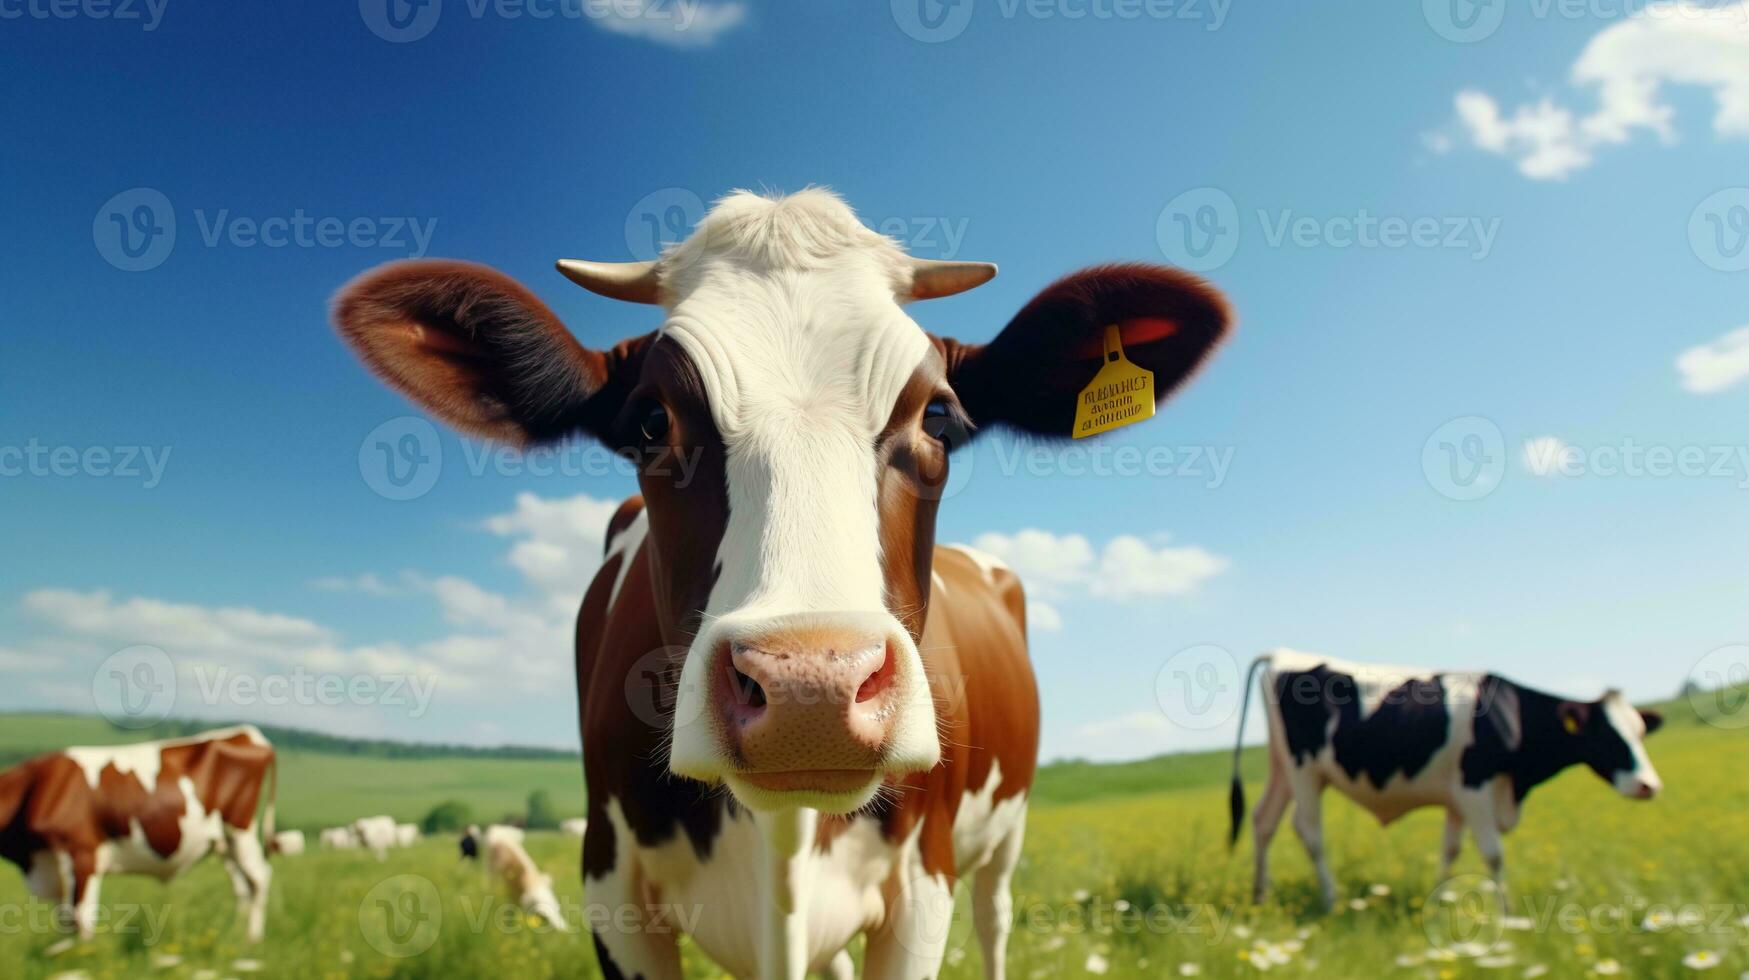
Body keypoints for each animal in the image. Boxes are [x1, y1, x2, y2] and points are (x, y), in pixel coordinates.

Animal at [0, 728, 276, 945]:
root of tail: (247, 733)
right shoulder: (52, 863)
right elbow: (66, 919)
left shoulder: (82, 853)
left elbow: (81, 918)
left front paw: (81, 956)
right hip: (226, 843)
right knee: (242, 887)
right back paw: (236, 936)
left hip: (240, 829)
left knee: (259, 879)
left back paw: (252, 940)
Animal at [330, 187, 1231, 973]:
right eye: (651, 420)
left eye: (937, 417)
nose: (811, 690)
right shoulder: (610, 888)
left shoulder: (922, 887)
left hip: (1000, 848)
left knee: (997, 921)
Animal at [1231, 647, 1665, 910]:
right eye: (1608, 737)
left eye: (1640, 732)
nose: (1649, 785)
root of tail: (1283, 654)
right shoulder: (1475, 790)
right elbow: (1493, 854)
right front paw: (1508, 913)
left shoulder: (1457, 798)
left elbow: (1451, 850)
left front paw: (1440, 900)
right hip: (1305, 769)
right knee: (1309, 831)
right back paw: (1330, 901)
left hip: (1281, 768)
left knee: (1264, 820)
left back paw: (1259, 896)